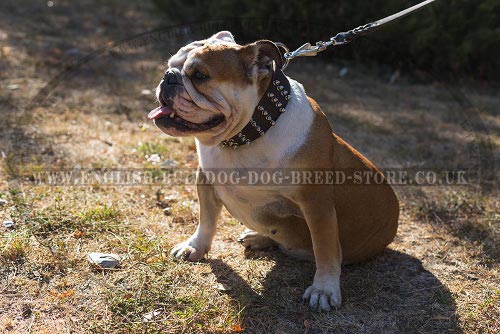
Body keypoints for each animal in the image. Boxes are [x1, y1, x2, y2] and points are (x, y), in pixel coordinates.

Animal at [147, 31, 398, 310]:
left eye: (200, 76)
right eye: (171, 65)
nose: (168, 77)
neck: (249, 134)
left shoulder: (317, 206)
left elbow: (325, 249)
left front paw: (324, 288)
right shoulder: (206, 180)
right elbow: (207, 220)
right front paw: (195, 246)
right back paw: (258, 237)